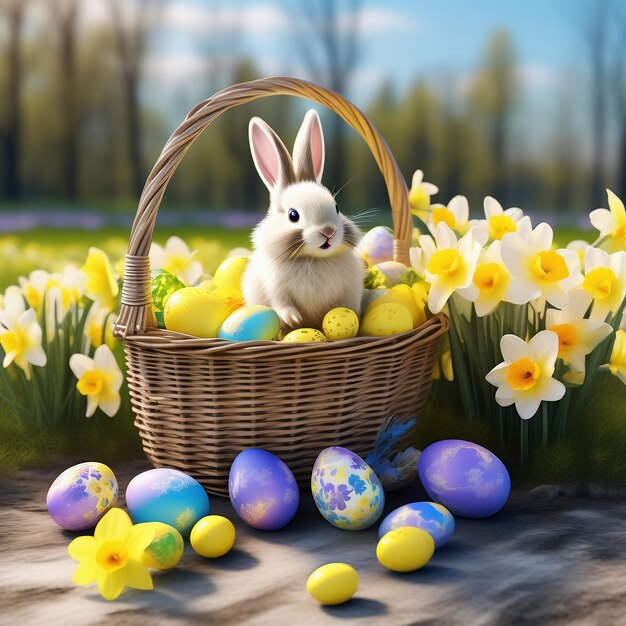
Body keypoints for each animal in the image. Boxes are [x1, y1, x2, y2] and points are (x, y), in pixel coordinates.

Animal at [241, 108, 364, 332]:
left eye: (337, 208)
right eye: (293, 215)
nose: (328, 232)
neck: (312, 258)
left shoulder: (349, 291)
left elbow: (345, 307)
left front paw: (347, 319)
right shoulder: (275, 287)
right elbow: (282, 304)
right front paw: (294, 320)